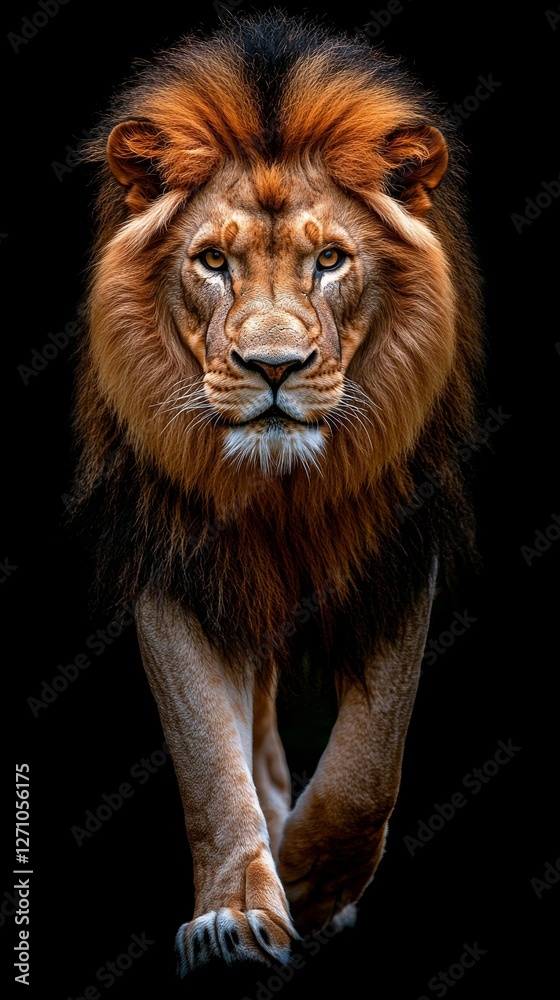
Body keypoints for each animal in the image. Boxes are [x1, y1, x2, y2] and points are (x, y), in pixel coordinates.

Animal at [70, 10, 484, 977]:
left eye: (330, 260)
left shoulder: (397, 551)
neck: (281, 492)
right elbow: (209, 762)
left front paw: (311, 881)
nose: (273, 367)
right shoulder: (173, 556)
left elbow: (370, 765)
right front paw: (238, 911)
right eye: (212, 261)